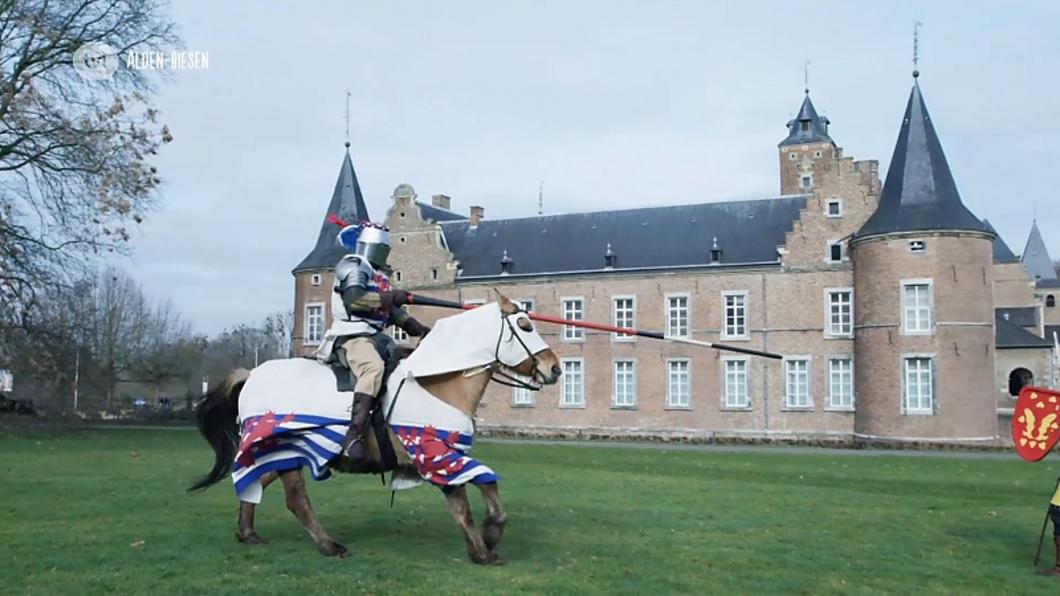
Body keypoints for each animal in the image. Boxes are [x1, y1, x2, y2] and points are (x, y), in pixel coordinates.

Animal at [188, 290, 563, 564]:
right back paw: (329, 545)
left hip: (282, 454)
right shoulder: (435, 454)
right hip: (288, 449)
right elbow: (467, 502)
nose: (555, 368)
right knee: (296, 500)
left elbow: (486, 485)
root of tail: (250, 375)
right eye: (525, 325)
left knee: (255, 480)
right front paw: (483, 547)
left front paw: (489, 536)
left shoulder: (449, 455)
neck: (439, 382)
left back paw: (247, 532)